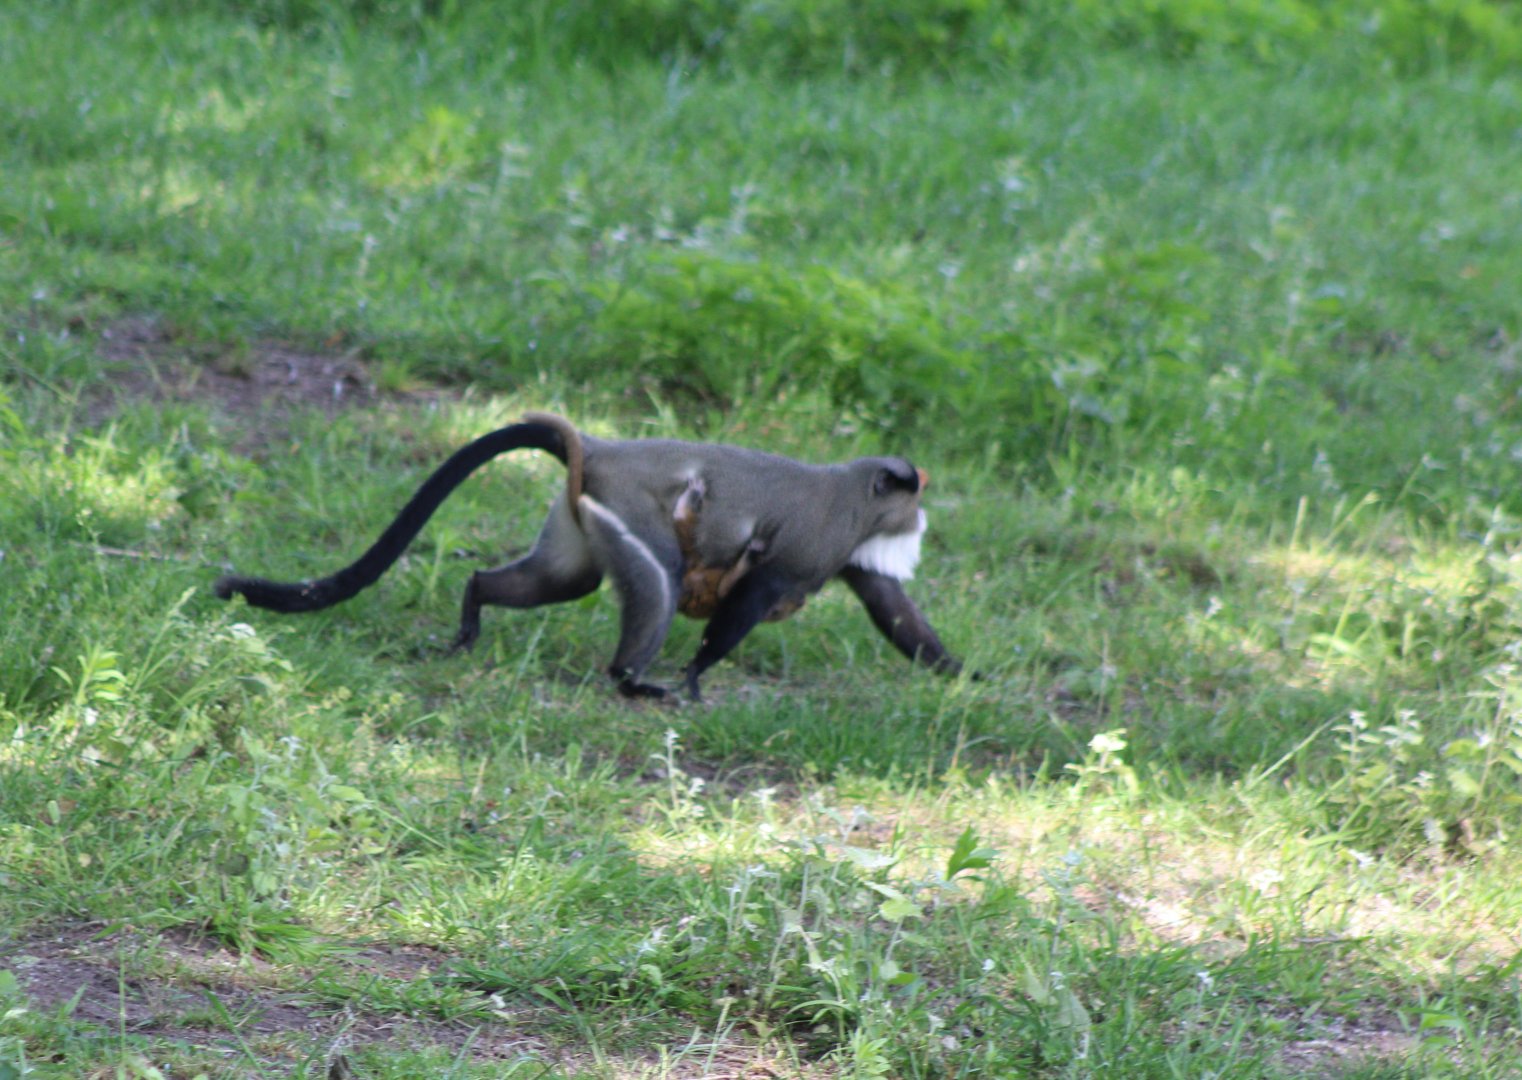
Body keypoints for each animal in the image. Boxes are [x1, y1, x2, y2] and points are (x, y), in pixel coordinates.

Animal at [215, 413, 961, 701]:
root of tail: (601, 449)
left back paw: (473, 608)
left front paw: (961, 675)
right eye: (914, 490)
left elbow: (891, 606)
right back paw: (631, 680)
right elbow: (745, 604)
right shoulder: (810, 548)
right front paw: (694, 679)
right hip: (629, 518)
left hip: (577, 526)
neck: (853, 495)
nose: (925, 513)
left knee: (556, 582)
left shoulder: (851, 553)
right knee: (658, 586)